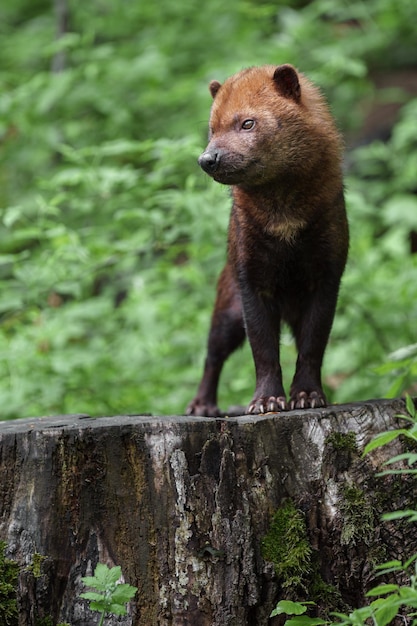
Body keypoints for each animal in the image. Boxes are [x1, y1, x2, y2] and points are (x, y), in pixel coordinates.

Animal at [186, 63, 348, 416]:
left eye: (247, 122)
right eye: (211, 129)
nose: (208, 159)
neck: (284, 223)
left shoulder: (326, 276)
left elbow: (313, 345)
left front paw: (307, 396)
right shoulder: (251, 279)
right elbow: (262, 349)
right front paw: (266, 401)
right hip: (227, 309)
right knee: (212, 354)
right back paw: (202, 406)